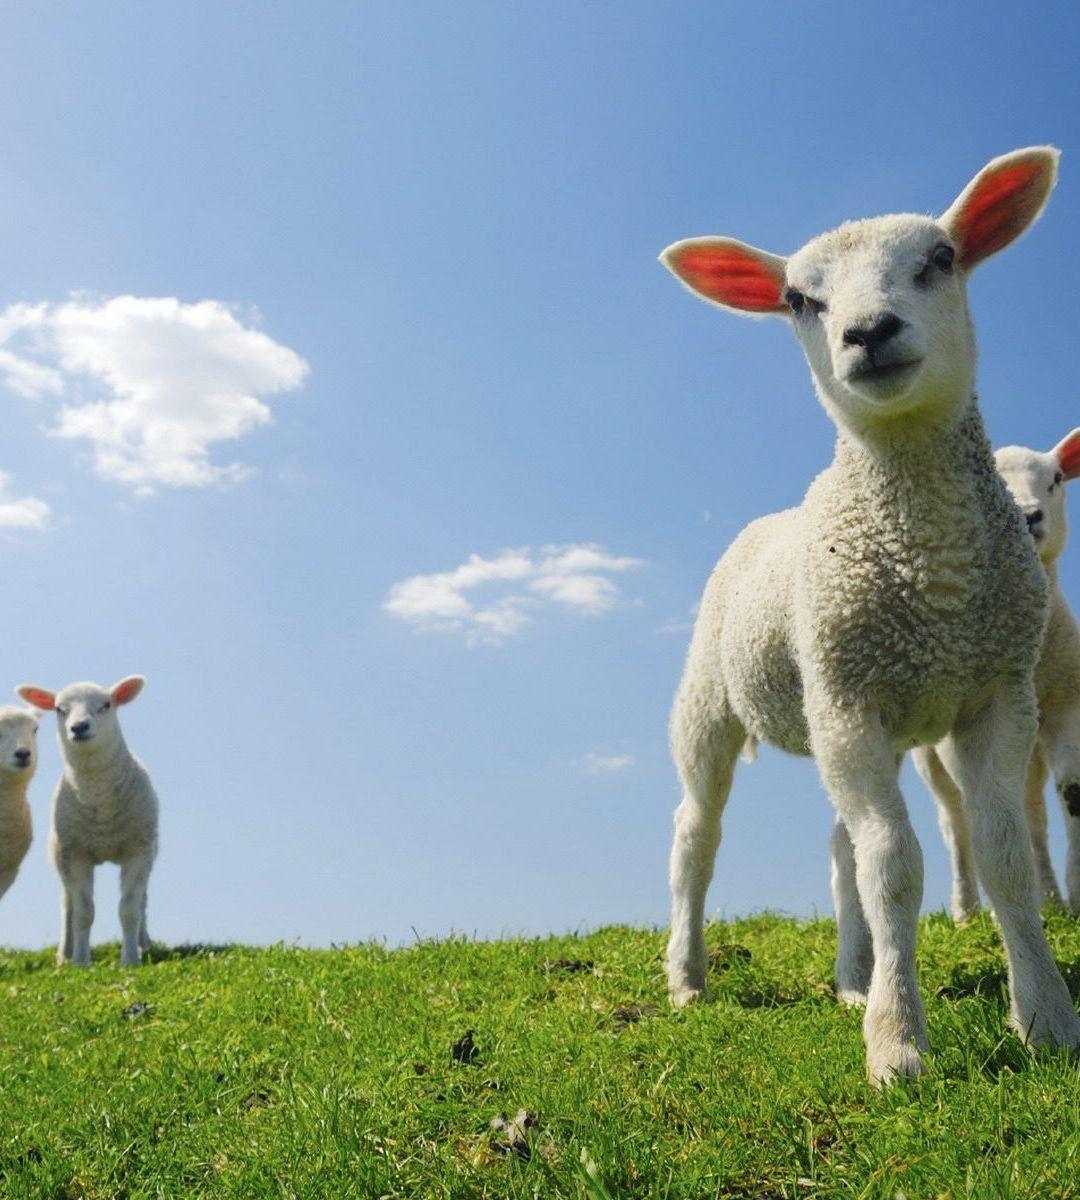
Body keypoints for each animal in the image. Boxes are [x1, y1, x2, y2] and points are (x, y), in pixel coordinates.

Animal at [17, 677, 157, 967]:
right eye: (59, 709)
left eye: (106, 705)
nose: (79, 727)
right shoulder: (75, 854)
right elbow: (83, 911)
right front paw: (81, 962)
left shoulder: (137, 850)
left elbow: (129, 908)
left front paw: (130, 961)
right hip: (59, 854)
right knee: (67, 903)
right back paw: (65, 955)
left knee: (143, 900)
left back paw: (143, 944)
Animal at [914, 429, 1080, 920]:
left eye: (1057, 479)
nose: (1028, 516)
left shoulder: (1065, 703)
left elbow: (1069, 792)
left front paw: (1074, 893)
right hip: (928, 754)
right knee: (955, 819)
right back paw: (966, 909)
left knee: (1030, 810)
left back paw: (1048, 897)